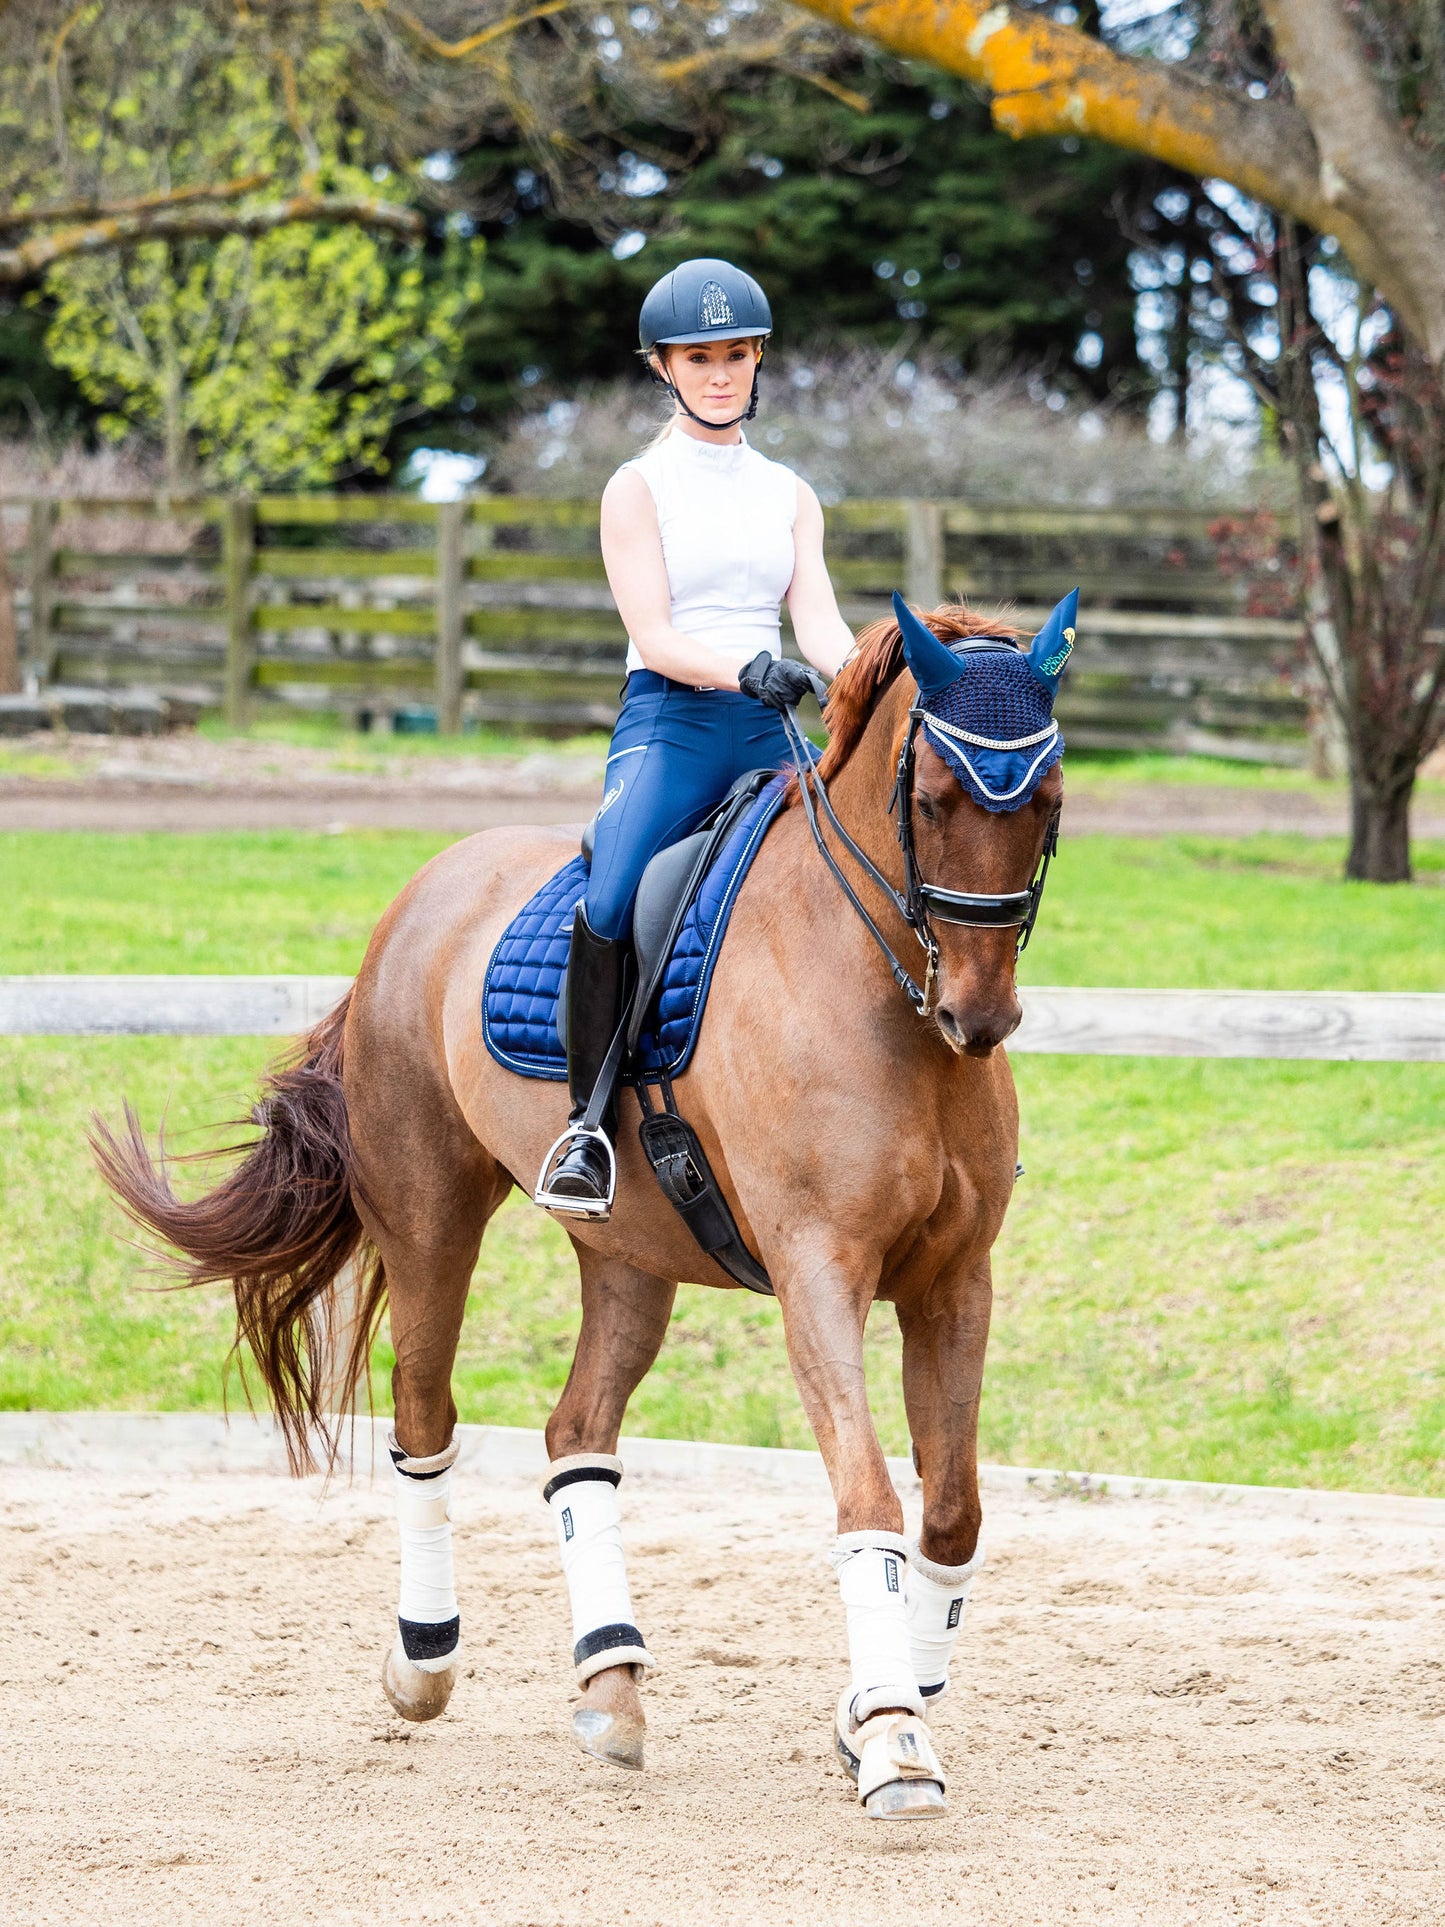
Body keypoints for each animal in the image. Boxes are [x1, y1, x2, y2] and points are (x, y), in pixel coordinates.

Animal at [93, 601, 1063, 1819]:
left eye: (1049, 800)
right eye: (931, 798)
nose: (977, 1016)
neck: (879, 993)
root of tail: (426, 889)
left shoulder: (950, 1281)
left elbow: (950, 1514)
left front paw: (879, 1711)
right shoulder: (818, 1273)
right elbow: (866, 1495)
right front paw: (891, 1735)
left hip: (629, 1254)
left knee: (576, 1438)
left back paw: (612, 1679)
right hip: (430, 1217)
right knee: (423, 1418)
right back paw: (424, 1659)